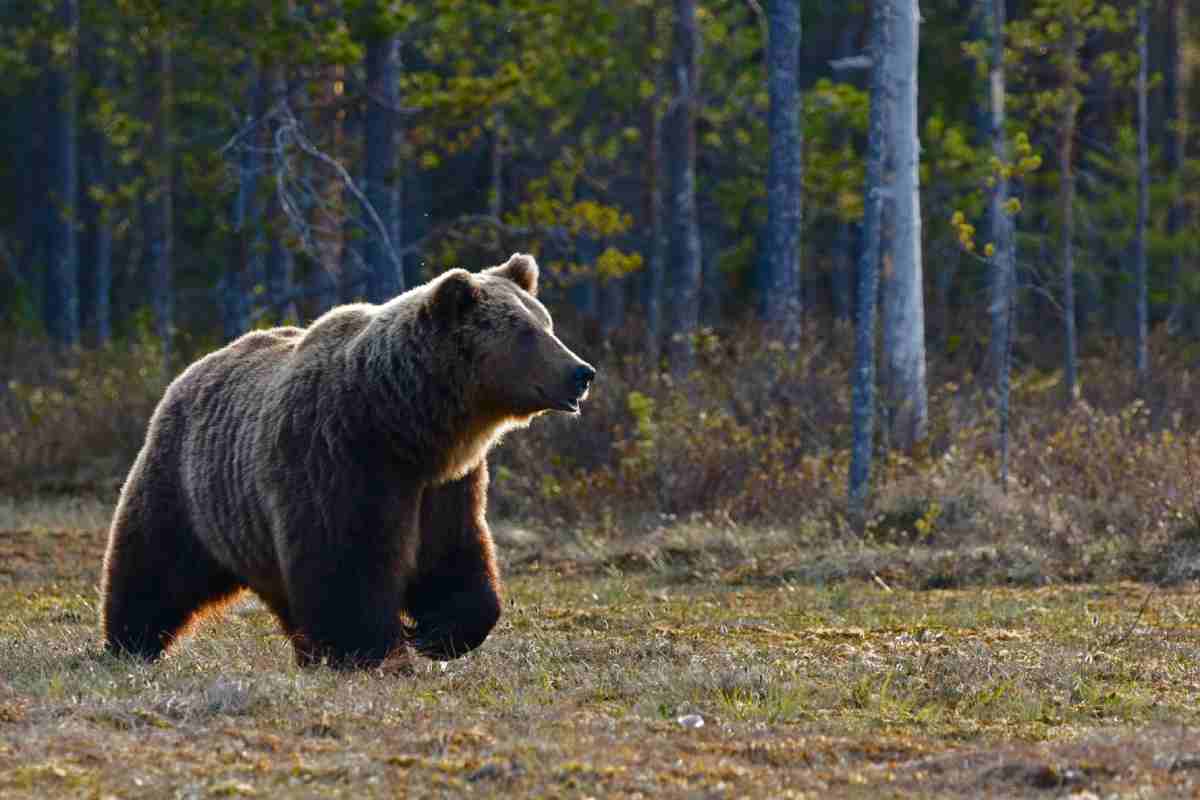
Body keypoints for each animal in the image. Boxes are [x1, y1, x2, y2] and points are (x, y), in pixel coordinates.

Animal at [102, 253, 595, 666]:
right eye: (525, 331)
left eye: (546, 322)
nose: (582, 372)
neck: (404, 425)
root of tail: (193, 368)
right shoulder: (339, 457)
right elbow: (346, 562)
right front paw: (372, 649)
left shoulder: (445, 484)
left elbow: (453, 556)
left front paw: (436, 633)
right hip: (188, 485)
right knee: (155, 563)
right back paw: (130, 642)